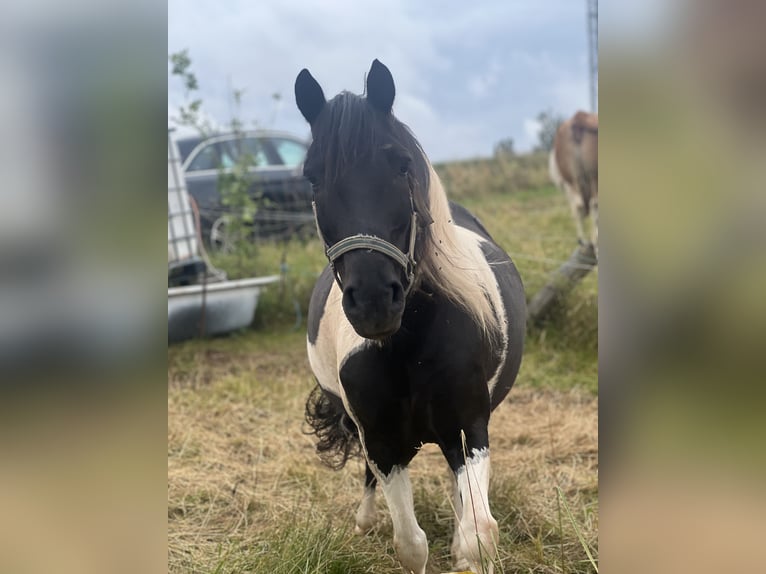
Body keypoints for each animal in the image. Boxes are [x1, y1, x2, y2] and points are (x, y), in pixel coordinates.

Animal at [296, 59, 526, 574]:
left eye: (401, 165)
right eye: (312, 178)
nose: (374, 300)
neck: (411, 344)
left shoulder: (468, 429)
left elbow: (477, 535)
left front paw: (464, 547)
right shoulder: (381, 441)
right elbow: (410, 543)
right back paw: (364, 520)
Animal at [549, 111, 599, 253]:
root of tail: (580, 115)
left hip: (572, 179)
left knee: (579, 206)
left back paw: (584, 243)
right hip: (592, 177)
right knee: (593, 205)